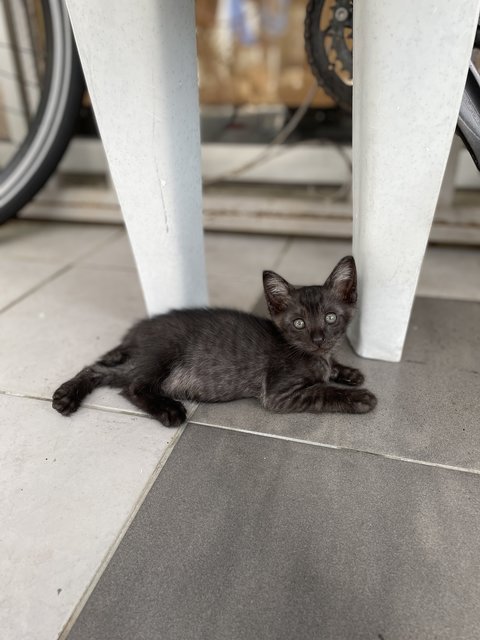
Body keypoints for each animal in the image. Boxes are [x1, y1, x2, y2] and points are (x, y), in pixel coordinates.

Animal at [51, 255, 376, 424]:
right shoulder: (278, 394)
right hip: (161, 352)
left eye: (330, 318)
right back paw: (168, 410)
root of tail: (138, 330)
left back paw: (67, 395)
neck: (314, 356)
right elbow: (322, 391)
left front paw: (348, 372)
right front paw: (358, 397)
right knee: (131, 385)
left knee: (101, 370)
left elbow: (330, 369)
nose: (318, 338)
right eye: (299, 323)